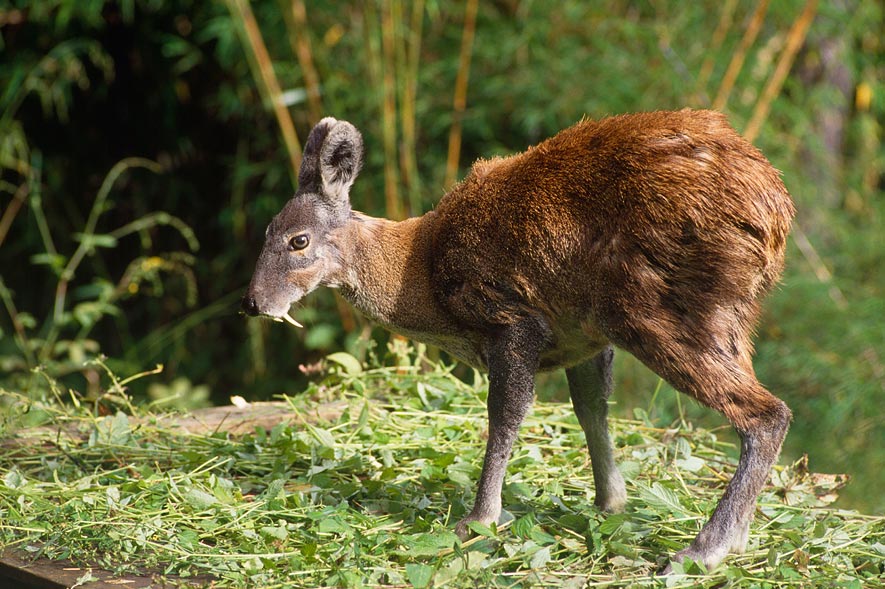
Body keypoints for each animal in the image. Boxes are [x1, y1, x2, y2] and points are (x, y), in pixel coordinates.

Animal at [240, 110, 796, 568]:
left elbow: (507, 414)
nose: (252, 303)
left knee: (767, 413)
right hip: (722, 321)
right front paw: (610, 502)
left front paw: (478, 519)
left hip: (655, 308)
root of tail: (774, 213)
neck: (418, 279)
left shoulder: (511, 316)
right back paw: (736, 536)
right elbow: (591, 407)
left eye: (298, 240)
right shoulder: (584, 336)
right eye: (265, 230)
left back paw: (703, 550)